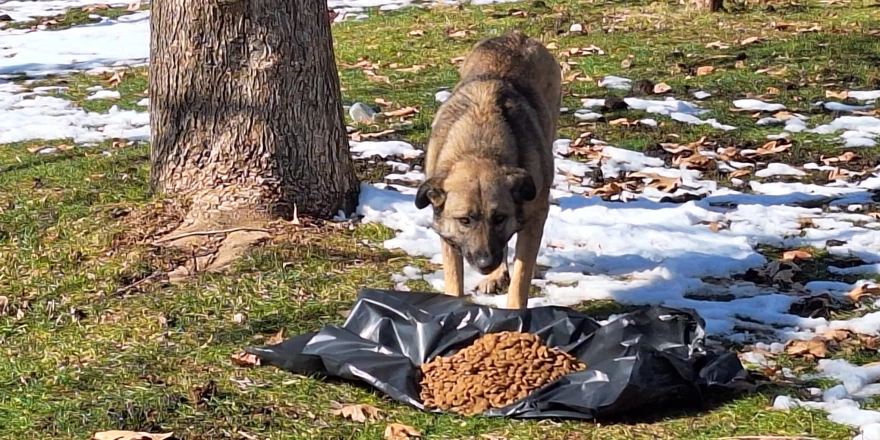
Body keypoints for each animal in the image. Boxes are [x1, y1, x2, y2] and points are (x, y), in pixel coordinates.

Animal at [414, 30, 564, 310]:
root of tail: (518, 34)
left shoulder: (535, 216)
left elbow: (521, 277)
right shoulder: (449, 234)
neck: (480, 148)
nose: (485, 263)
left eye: (500, 218)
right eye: (464, 220)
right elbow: (454, 280)